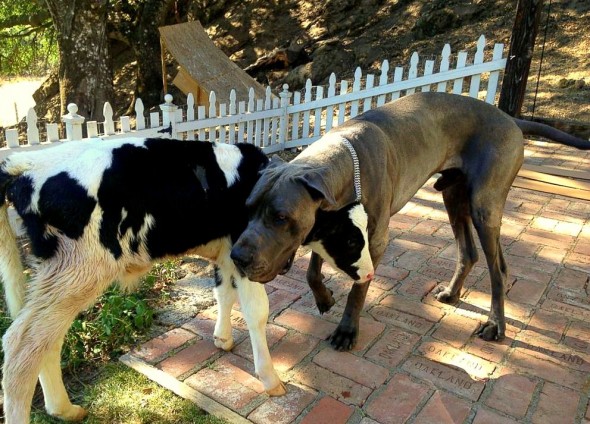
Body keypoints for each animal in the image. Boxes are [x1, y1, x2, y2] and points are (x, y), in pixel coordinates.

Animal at [0, 137, 284, 422]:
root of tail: (25, 164)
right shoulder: (242, 251)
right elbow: (257, 311)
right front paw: (270, 379)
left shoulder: (227, 252)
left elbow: (224, 293)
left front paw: (223, 339)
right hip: (78, 271)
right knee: (21, 345)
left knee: (46, 341)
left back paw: (65, 410)